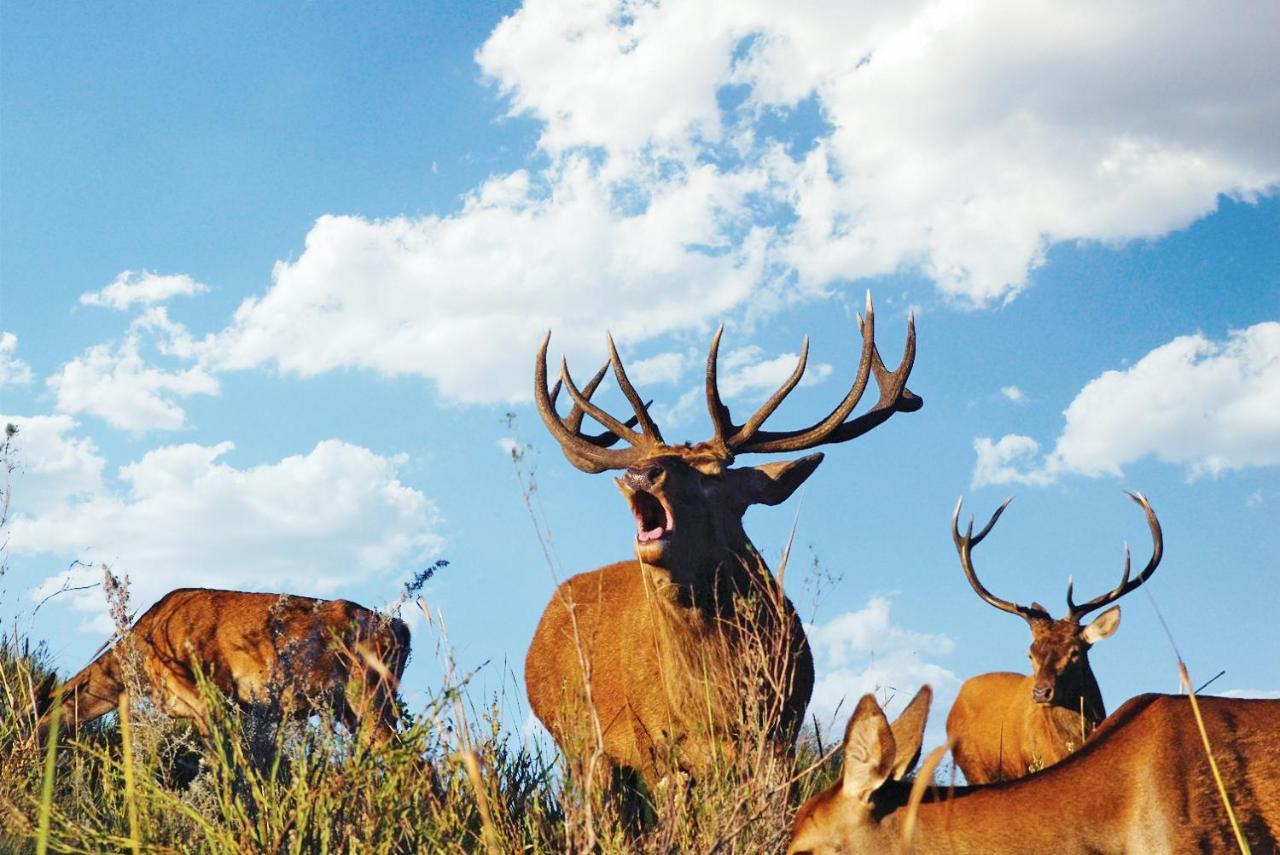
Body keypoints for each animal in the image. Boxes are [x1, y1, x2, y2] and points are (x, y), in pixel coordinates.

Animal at [524, 296, 926, 793]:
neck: (717, 706)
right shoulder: (650, 742)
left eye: (713, 477)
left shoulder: (783, 730)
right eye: (650, 462)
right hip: (578, 743)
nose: (642, 472)